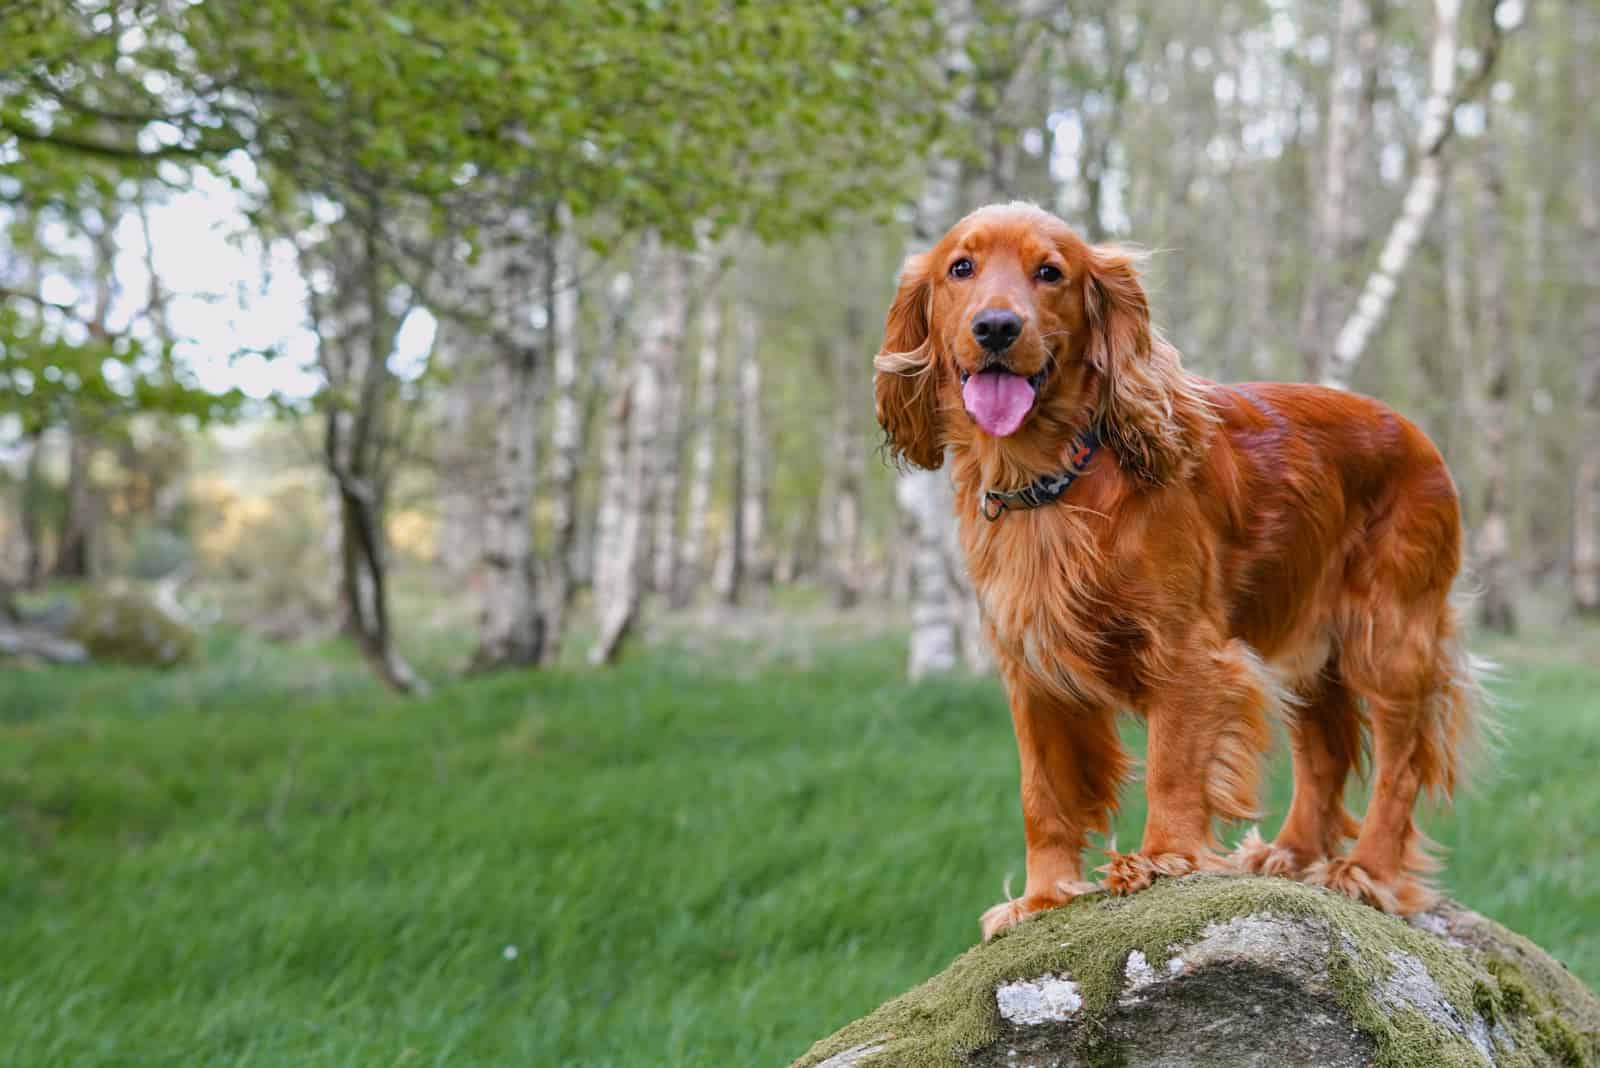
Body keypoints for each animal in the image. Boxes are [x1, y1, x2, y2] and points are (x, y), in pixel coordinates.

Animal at [870, 204, 1478, 940]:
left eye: (1050, 273)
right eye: (961, 267)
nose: (996, 327)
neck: (1053, 480)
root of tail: (1419, 436)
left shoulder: (1187, 651)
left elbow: (1172, 762)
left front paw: (1163, 859)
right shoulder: (1031, 669)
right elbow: (1043, 794)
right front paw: (1043, 898)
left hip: (1387, 639)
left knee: (1400, 766)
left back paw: (1368, 871)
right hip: (1305, 647)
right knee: (1324, 754)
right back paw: (1289, 853)